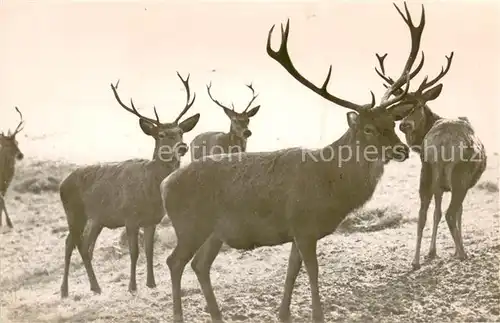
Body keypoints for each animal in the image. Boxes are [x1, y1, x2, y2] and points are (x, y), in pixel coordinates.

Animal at [58, 73, 199, 298]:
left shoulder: (152, 220)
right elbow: (134, 253)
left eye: (180, 132)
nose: (183, 147)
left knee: (85, 246)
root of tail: (62, 184)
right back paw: (66, 290)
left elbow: (149, 251)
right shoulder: (130, 217)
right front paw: (132, 286)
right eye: (161, 135)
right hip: (74, 212)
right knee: (70, 243)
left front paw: (151, 283)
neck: (151, 190)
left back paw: (94, 287)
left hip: (97, 219)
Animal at [160, 1, 426, 322]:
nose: (402, 150)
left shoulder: (297, 231)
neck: (332, 183)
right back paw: (179, 315)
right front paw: (317, 315)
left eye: (392, 123)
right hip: (190, 225)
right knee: (174, 261)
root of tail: (164, 184)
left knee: (199, 264)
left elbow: (291, 272)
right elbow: (312, 272)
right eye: (368, 129)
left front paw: (283, 314)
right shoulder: (303, 224)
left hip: (214, 232)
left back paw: (217, 315)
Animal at [376, 49, 486, 270]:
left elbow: (435, 213)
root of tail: (442, 142)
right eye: (400, 106)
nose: (404, 125)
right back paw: (463, 254)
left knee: (422, 214)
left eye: (417, 104)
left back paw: (415, 261)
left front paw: (431, 252)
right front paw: (451, 250)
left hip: (426, 171)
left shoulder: (438, 185)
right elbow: (457, 213)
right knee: (451, 213)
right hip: (459, 176)